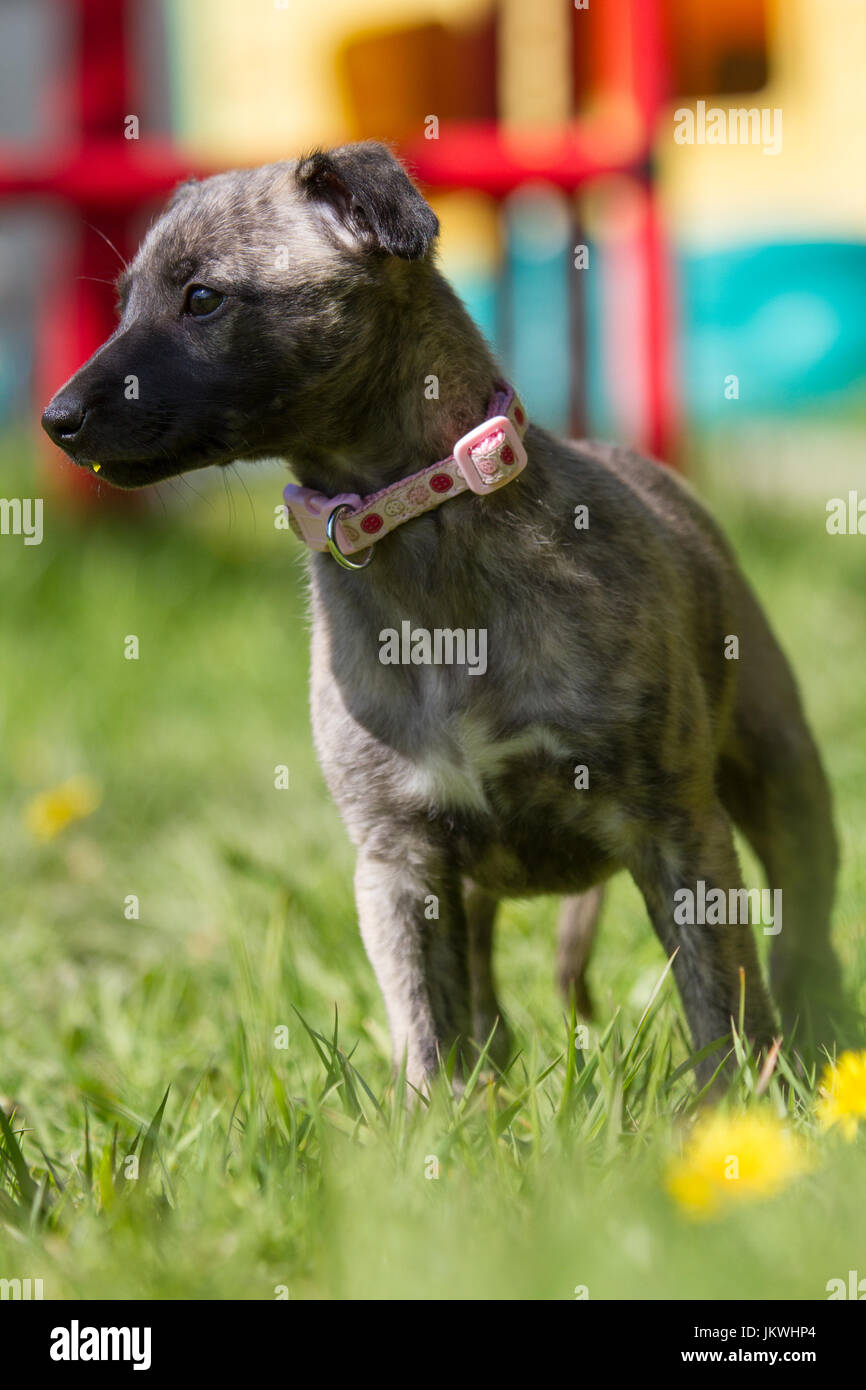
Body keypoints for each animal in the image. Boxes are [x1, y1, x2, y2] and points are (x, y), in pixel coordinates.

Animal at [42, 143, 845, 1095]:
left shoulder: (675, 830)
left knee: (805, 924)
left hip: (780, 769)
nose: (55, 419)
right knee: (482, 989)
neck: (423, 540)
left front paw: (733, 1105)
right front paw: (438, 1118)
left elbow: (717, 997)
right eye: (124, 302)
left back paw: (816, 1025)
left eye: (203, 299)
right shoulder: (400, 862)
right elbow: (425, 1017)